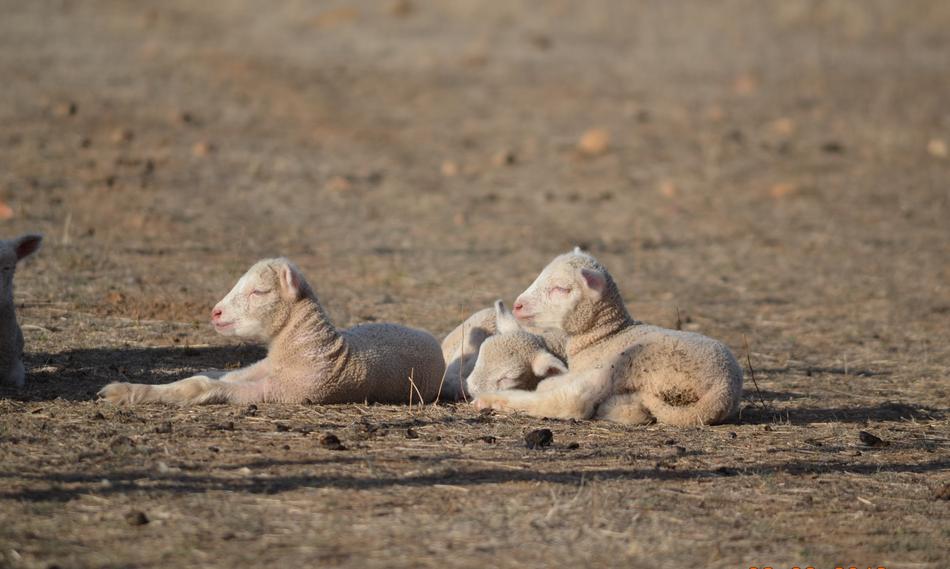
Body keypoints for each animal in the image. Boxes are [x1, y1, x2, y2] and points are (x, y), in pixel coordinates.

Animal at [98, 257, 446, 405]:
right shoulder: (262, 370)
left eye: (260, 292)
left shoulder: (281, 391)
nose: (215, 312)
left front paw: (123, 394)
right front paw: (128, 390)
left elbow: (201, 385)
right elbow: (204, 377)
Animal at [474, 248, 744, 426]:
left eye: (561, 288)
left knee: (570, 402)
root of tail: (723, 389)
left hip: (632, 363)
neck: (603, 337)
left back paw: (488, 400)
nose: (517, 305)